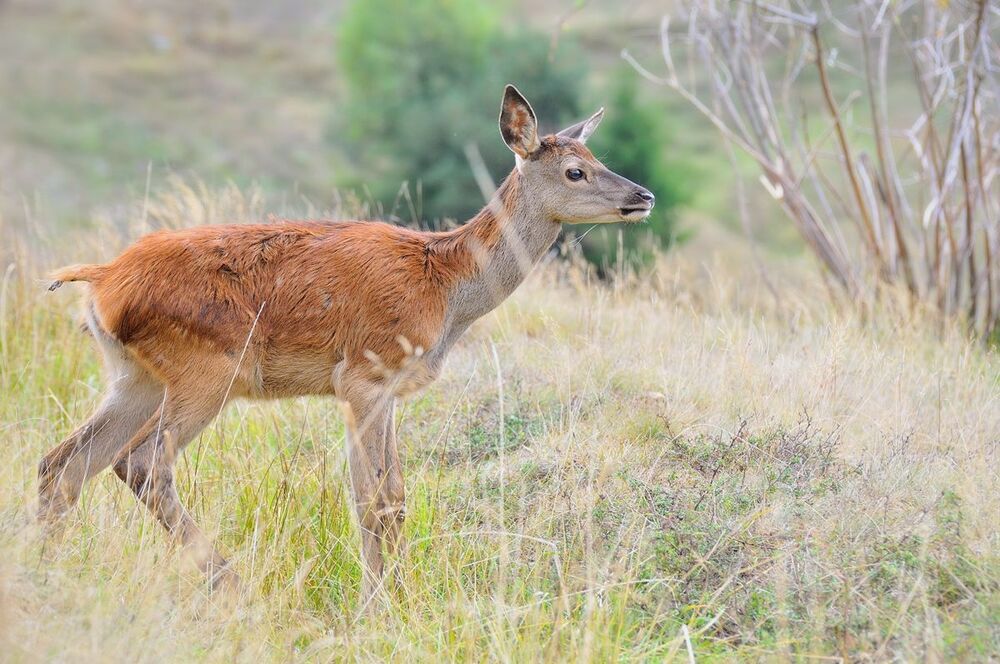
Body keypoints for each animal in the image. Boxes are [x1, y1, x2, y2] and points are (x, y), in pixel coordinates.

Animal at [39, 85, 655, 605]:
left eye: (597, 158)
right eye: (575, 171)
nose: (644, 195)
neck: (446, 288)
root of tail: (102, 279)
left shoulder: (392, 388)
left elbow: (397, 497)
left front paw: (401, 597)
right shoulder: (363, 375)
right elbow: (372, 503)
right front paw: (377, 606)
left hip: (134, 375)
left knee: (64, 463)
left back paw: (49, 570)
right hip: (206, 369)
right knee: (140, 462)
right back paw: (234, 586)